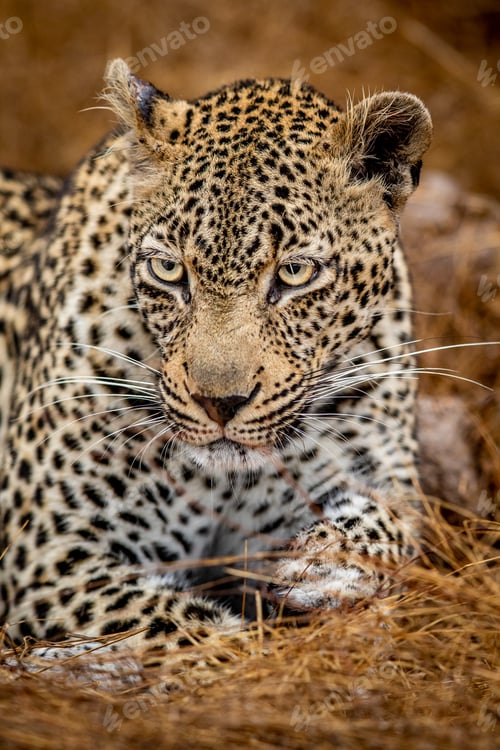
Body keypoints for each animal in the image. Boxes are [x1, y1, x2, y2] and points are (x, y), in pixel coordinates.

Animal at [0, 59, 432, 661]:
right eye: (168, 270)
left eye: (294, 273)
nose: (219, 403)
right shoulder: (49, 556)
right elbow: (191, 634)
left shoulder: (389, 475)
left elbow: (388, 526)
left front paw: (322, 561)